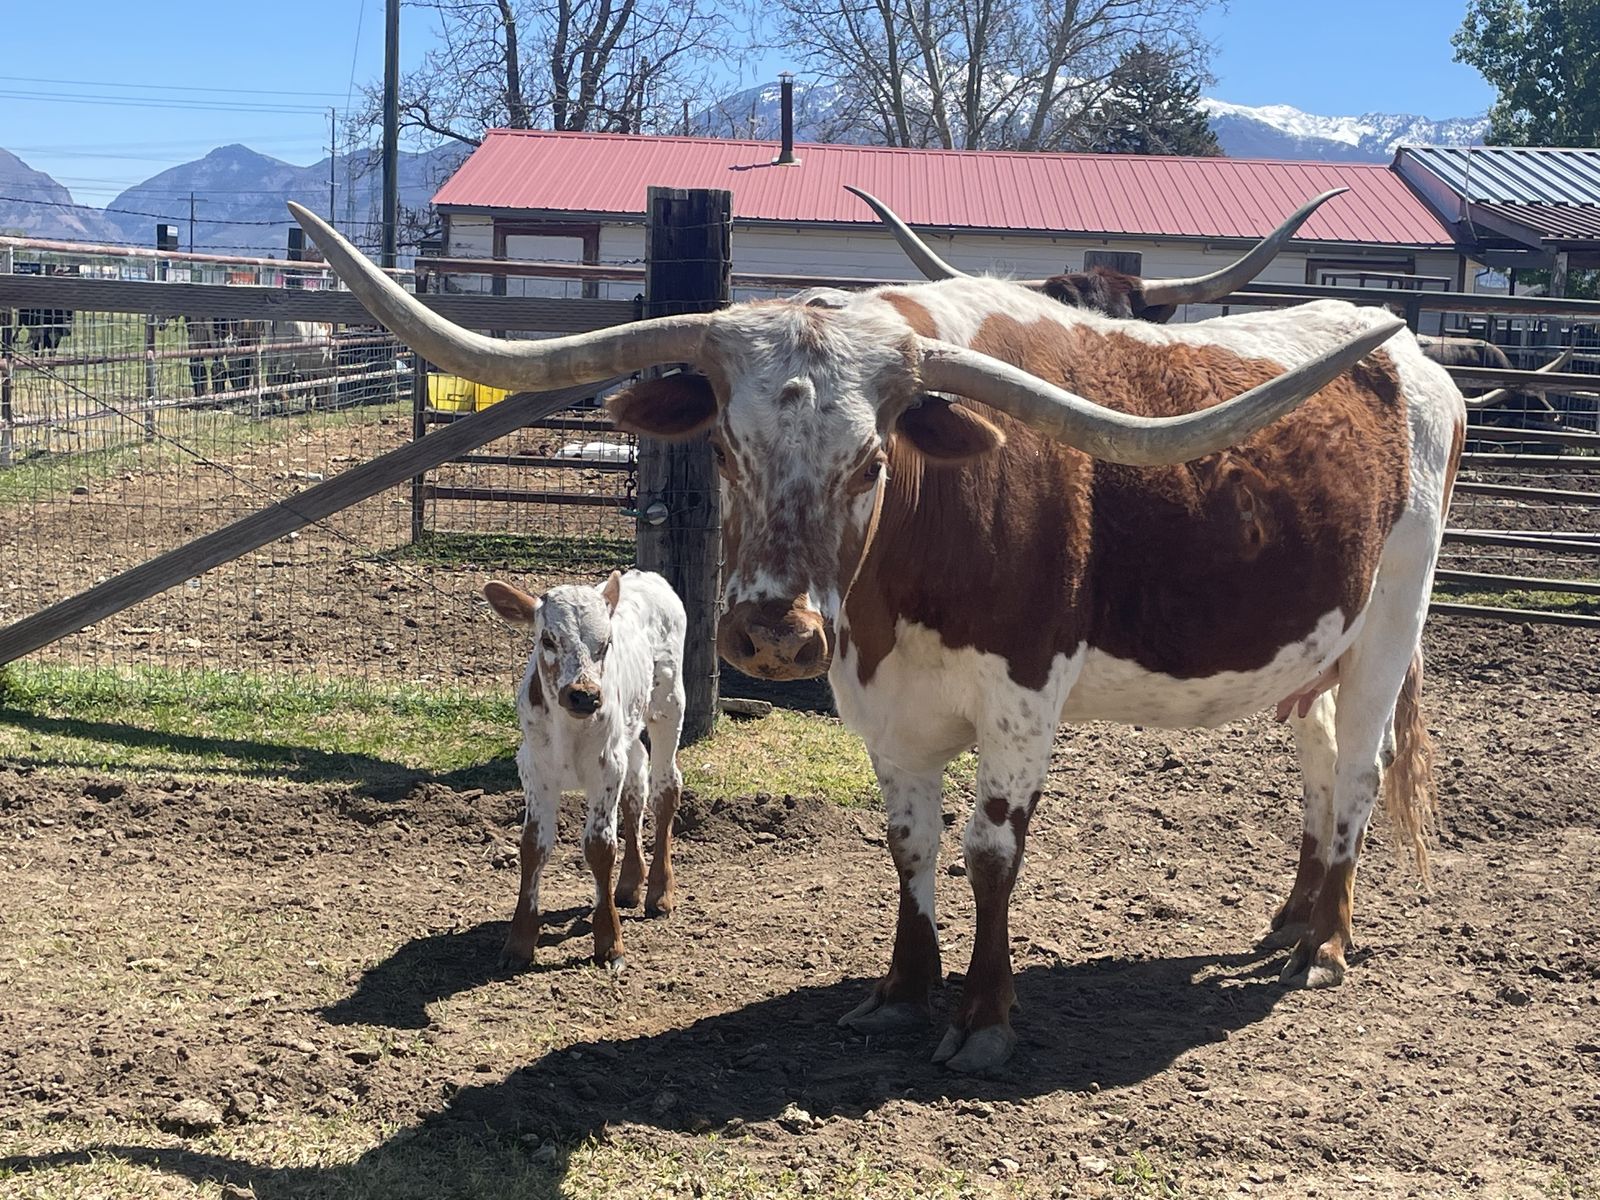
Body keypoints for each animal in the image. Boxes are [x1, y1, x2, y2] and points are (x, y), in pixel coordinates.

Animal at [483, 569, 688, 970]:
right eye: (548, 639)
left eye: (606, 643)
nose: (584, 695)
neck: (569, 731)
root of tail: (646, 575)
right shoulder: (535, 769)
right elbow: (533, 845)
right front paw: (518, 943)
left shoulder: (604, 768)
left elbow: (600, 847)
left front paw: (609, 941)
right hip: (629, 733)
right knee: (636, 786)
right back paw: (629, 884)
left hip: (669, 703)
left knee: (665, 787)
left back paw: (659, 892)